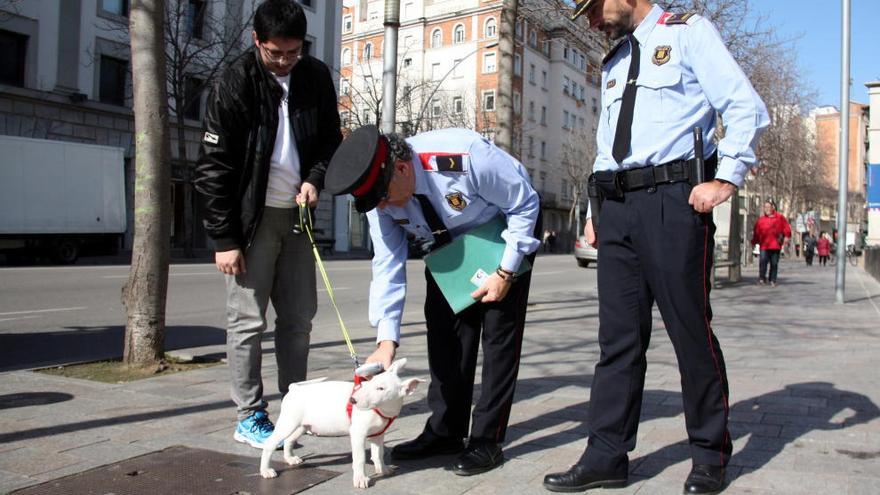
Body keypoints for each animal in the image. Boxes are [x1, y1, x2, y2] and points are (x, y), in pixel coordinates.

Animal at [258, 358, 422, 490]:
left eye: (381, 388)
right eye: (368, 383)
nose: (353, 400)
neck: (381, 410)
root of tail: (294, 388)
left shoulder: (378, 435)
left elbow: (378, 454)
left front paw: (383, 469)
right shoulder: (358, 434)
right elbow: (360, 458)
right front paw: (360, 480)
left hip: (301, 426)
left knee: (289, 440)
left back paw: (290, 459)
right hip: (288, 422)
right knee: (270, 443)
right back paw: (266, 470)